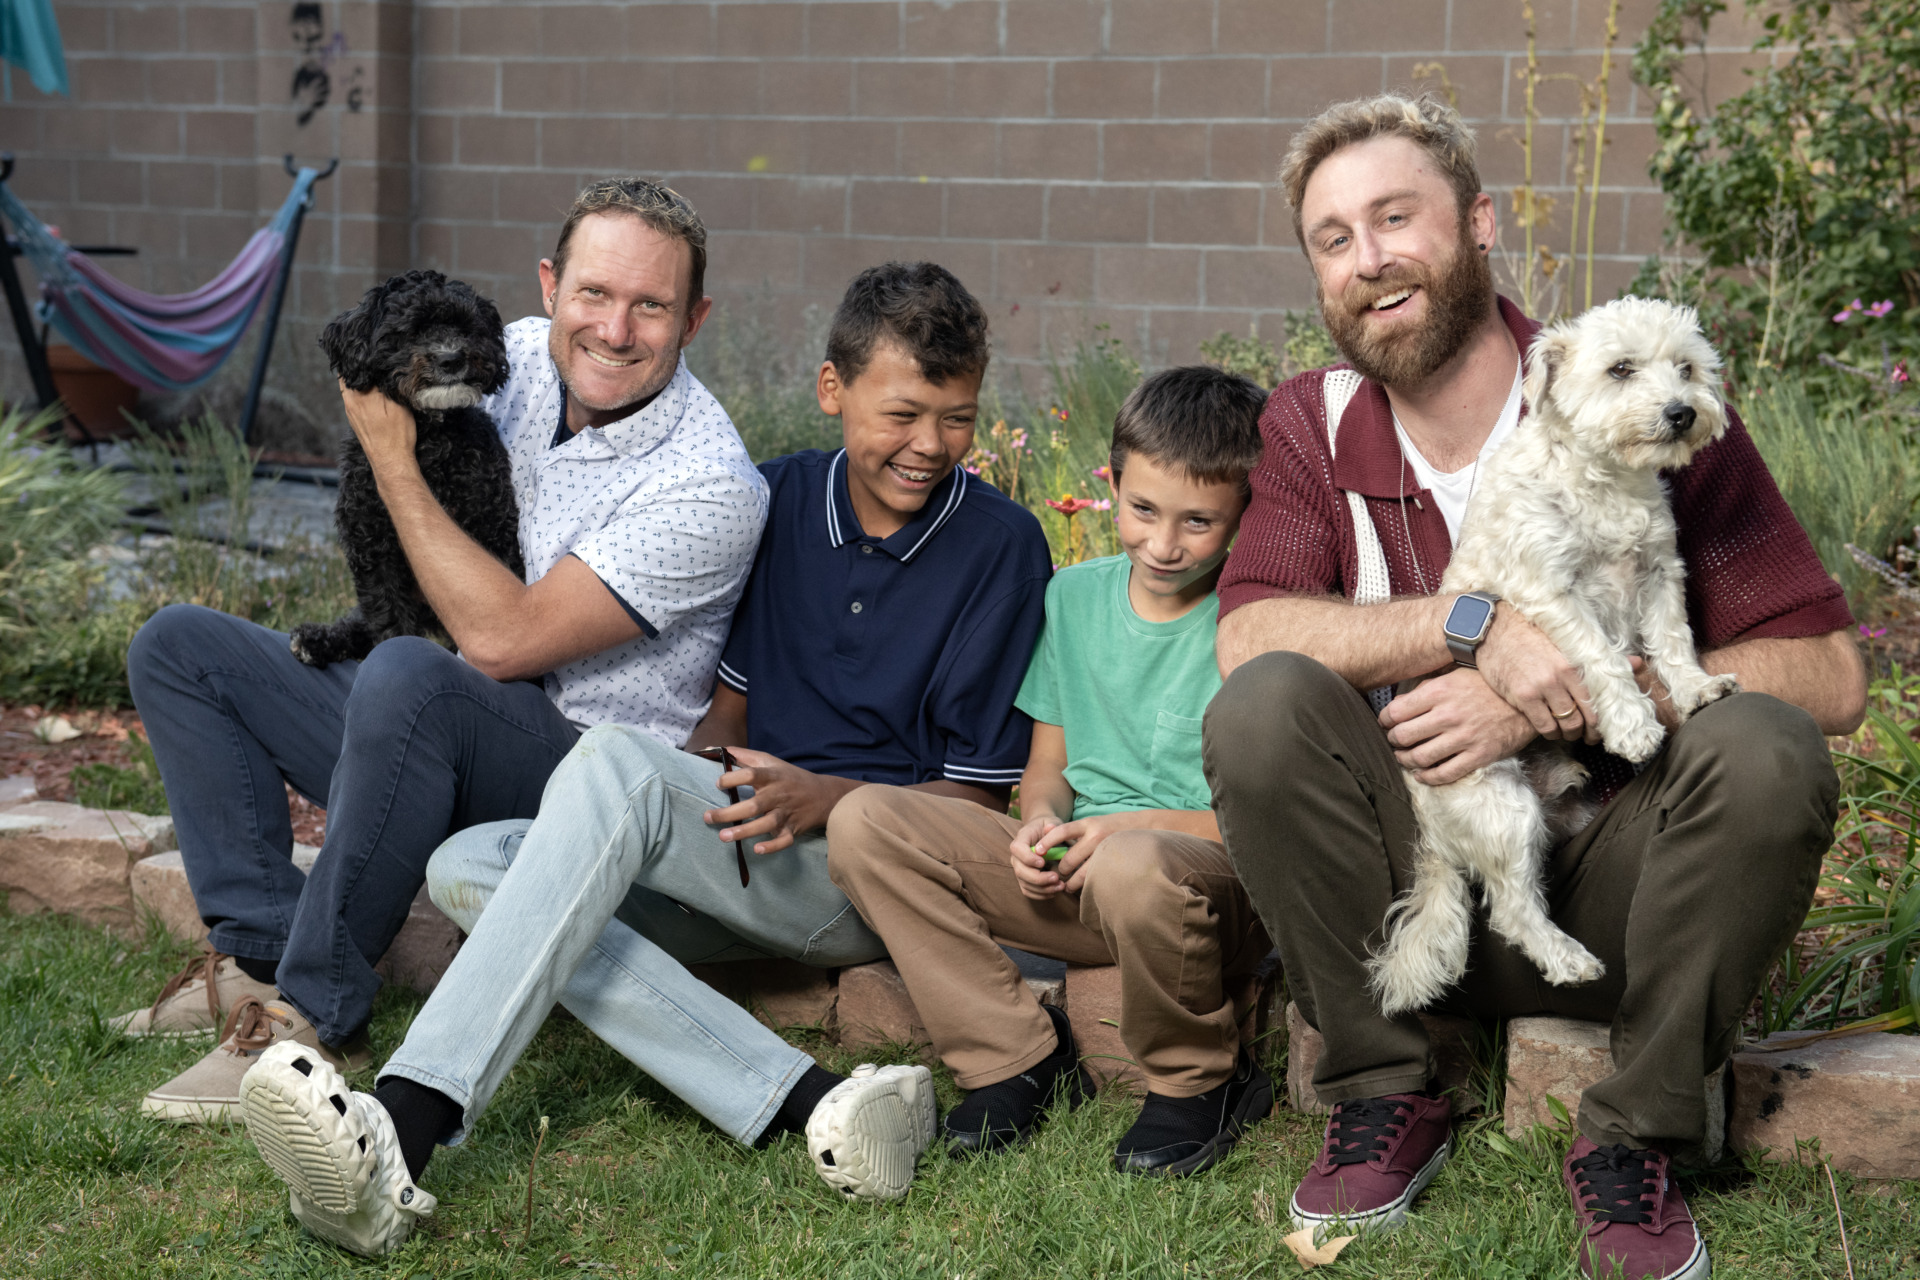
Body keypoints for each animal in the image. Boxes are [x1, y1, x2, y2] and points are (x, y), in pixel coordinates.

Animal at [289, 272, 526, 671]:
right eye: (410, 331)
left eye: (467, 327)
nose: (451, 358)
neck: (431, 444)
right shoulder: (373, 545)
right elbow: (389, 622)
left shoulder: (494, 534)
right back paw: (316, 640)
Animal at [1367, 295, 1743, 1013]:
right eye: (1621, 369)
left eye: (1686, 367)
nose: (1682, 411)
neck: (1606, 480)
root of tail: (1436, 838)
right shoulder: (1551, 593)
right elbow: (1601, 657)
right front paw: (1632, 723)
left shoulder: (1659, 575)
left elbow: (1674, 640)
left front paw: (1694, 688)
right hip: (1502, 809)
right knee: (1512, 911)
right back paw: (1567, 959)